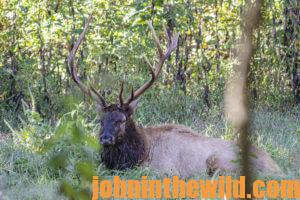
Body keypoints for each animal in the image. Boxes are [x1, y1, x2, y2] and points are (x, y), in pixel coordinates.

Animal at [67, 16, 282, 177]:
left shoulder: (163, 170)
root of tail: (276, 167)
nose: (105, 138)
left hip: (219, 161)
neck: (140, 152)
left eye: (121, 120)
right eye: (101, 120)